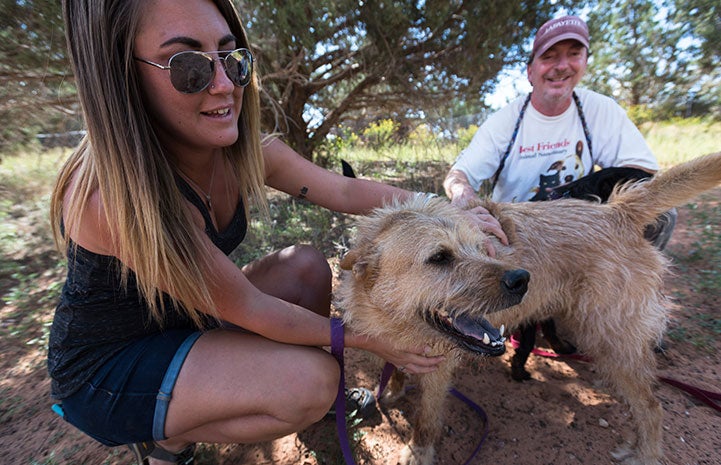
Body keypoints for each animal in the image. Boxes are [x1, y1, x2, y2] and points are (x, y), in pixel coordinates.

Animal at [334, 152, 720, 464]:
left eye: (482, 247)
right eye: (439, 258)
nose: (522, 279)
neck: (396, 320)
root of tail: (616, 212)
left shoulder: (437, 370)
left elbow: (426, 419)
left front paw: (418, 452)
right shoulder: (394, 347)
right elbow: (395, 370)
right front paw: (394, 390)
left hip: (611, 338)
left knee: (652, 407)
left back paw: (646, 454)